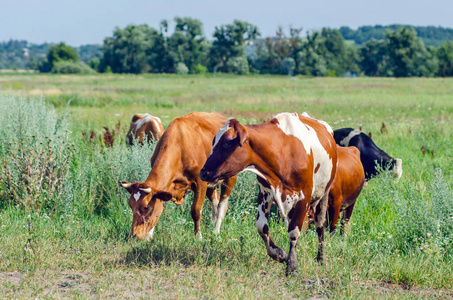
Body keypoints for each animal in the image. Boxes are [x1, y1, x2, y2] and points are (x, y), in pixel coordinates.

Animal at [122, 111, 238, 240]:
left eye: (145, 207)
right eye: (131, 205)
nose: (134, 235)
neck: (180, 147)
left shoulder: (200, 182)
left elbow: (196, 211)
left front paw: (198, 237)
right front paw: (149, 236)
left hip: (230, 177)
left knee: (222, 205)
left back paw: (216, 232)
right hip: (211, 184)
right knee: (215, 203)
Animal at [200, 113, 338, 276]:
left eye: (227, 143)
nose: (203, 173)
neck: (283, 152)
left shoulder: (304, 197)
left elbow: (294, 232)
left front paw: (292, 266)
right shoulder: (265, 193)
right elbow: (262, 227)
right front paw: (280, 254)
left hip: (324, 194)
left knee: (320, 225)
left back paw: (320, 258)